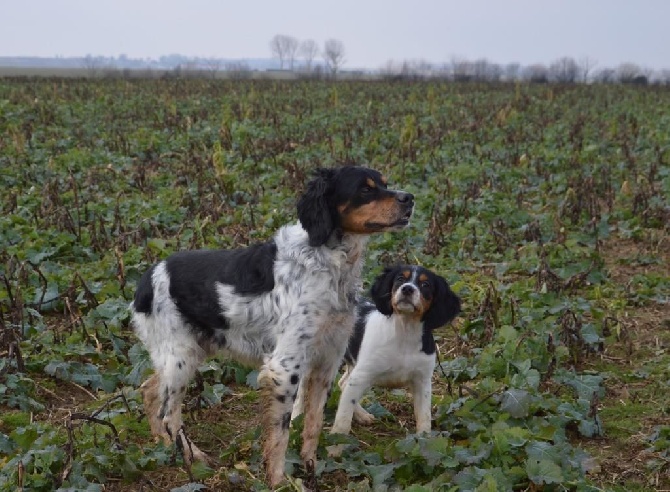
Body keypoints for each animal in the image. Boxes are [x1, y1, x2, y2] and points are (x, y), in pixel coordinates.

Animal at [131, 166, 414, 488]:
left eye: (384, 184)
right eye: (365, 189)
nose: (409, 198)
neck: (328, 260)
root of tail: (147, 277)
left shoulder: (326, 362)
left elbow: (314, 424)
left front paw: (311, 469)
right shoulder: (284, 367)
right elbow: (280, 434)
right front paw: (280, 481)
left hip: (186, 353)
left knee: (149, 391)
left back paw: (162, 446)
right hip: (181, 359)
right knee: (169, 414)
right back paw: (192, 458)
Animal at [330, 266, 462, 438]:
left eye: (425, 284)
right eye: (400, 279)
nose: (407, 289)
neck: (405, 332)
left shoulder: (422, 381)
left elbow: (424, 416)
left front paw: (424, 440)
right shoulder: (361, 376)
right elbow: (344, 417)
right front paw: (337, 442)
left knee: (343, 383)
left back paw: (362, 415)